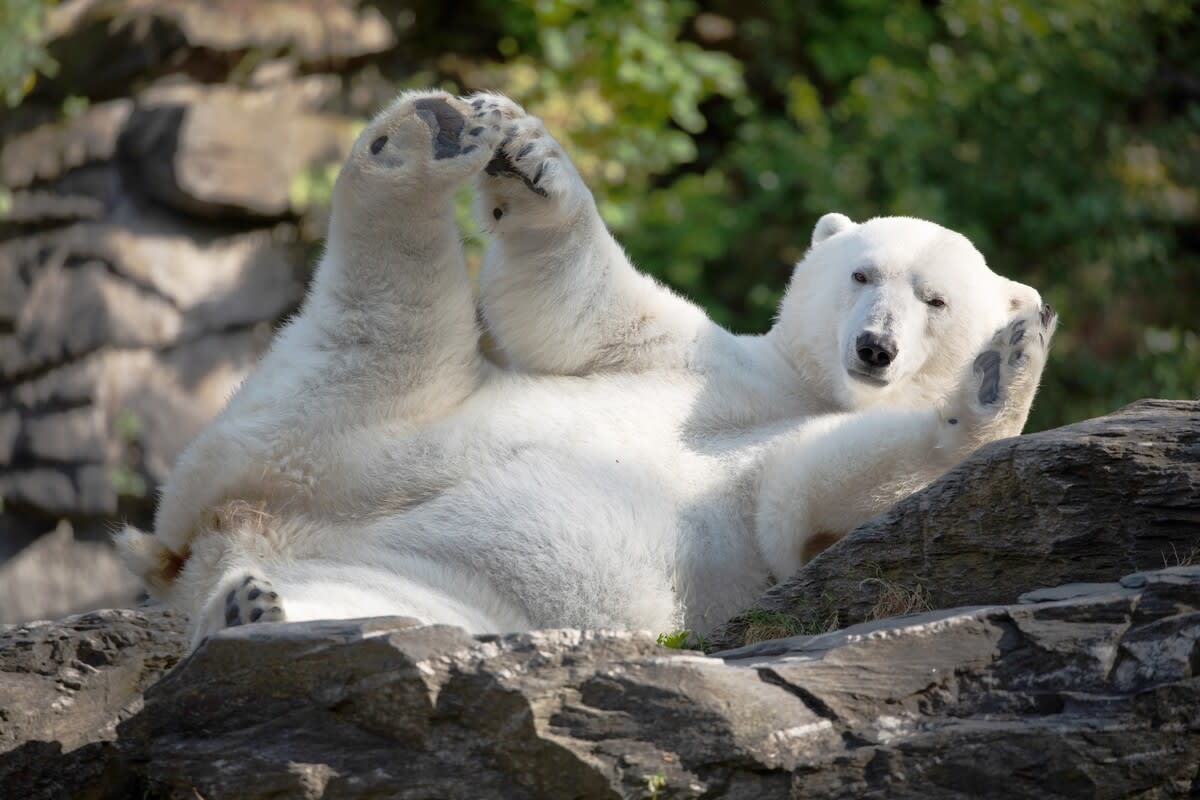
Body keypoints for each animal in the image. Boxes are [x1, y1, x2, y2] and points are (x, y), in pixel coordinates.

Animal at [115, 90, 1057, 650]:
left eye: (935, 300)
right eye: (862, 274)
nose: (874, 348)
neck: (808, 385)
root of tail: (212, 533)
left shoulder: (780, 490)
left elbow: (808, 496)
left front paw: (1002, 375)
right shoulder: (705, 359)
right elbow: (577, 312)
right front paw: (530, 158)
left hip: (408, 536)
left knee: (370, 600)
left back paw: (252, 614)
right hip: (345, 421)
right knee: (382, 320)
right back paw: (422, 141)